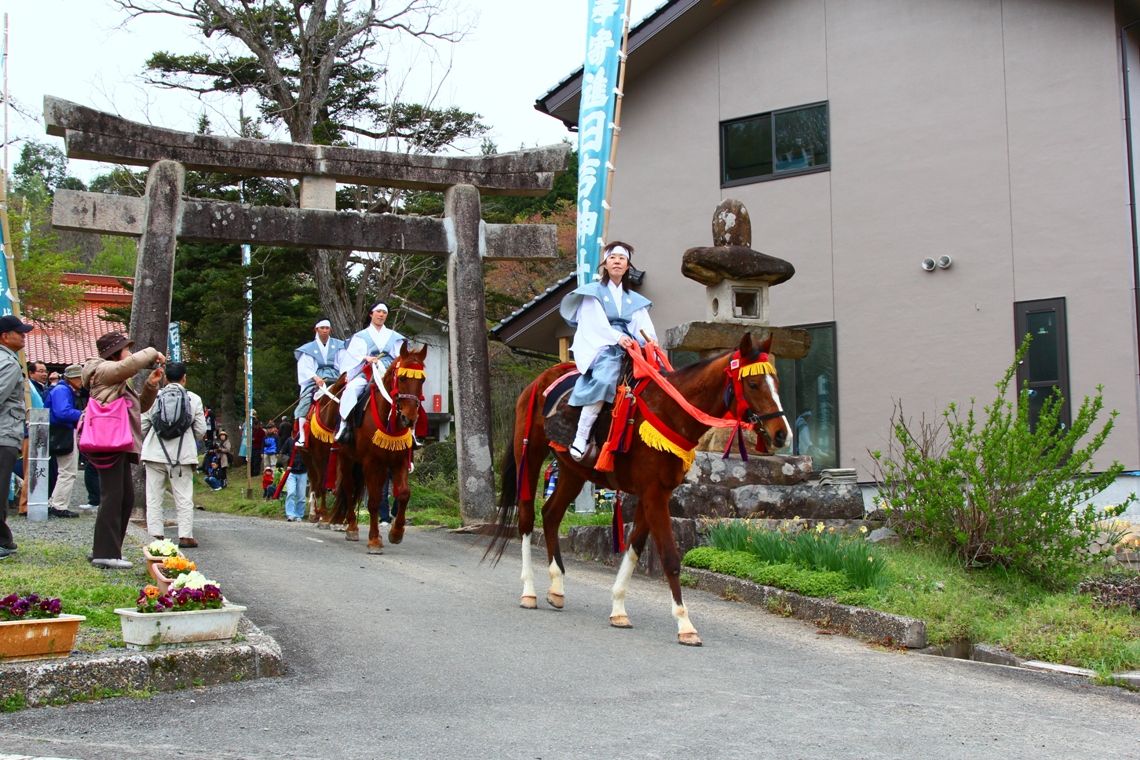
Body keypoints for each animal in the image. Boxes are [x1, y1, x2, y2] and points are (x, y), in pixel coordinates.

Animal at [330, 344, 428, 553]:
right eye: (402, 378)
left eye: (422, 379)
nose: (409, 418)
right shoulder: (371, 462)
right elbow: (374, 500)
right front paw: (374, 540)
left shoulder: (399, 461)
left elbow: (404, 494)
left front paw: (396, 533)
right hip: (347, 458)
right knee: (349, 489)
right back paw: (352, 528)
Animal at [490, 334, 793, 647]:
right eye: (753, 384)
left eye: (776, 382)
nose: (782, 434)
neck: (671, 413)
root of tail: (538, 382)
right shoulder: (653, 493)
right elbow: (669, 558)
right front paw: (685, 624)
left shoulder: (657, 492)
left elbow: (634, 548)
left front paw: (618, 609)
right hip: (529, 454)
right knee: (526, 520)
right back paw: (529, 591)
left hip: (573, 471)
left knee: (550, 515)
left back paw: (557, 587)